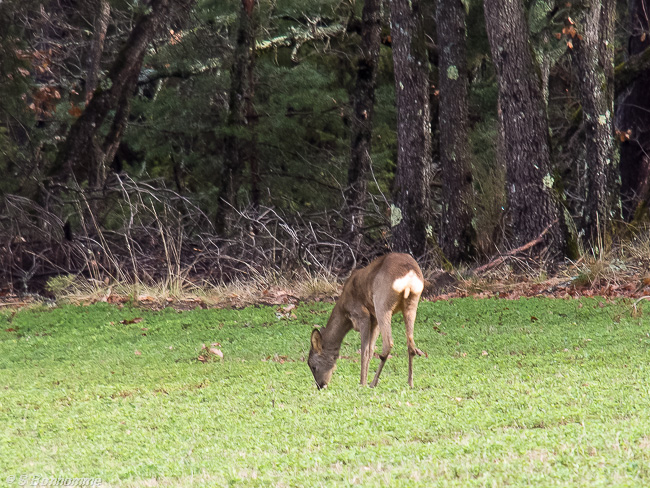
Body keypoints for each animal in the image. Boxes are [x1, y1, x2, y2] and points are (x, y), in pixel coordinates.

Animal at [308, 252, 426, 388]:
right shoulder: (374, 320)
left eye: (313, 366)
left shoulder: (362, 314)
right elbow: (370, 350)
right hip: (412, 303)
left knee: (388, 343)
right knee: (411, 344)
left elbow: (364, 351)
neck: (344, 310)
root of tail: (410, 274)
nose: (320, 386)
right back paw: (410, 383)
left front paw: (362, 383)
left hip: (382, 302)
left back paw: (373, 383)